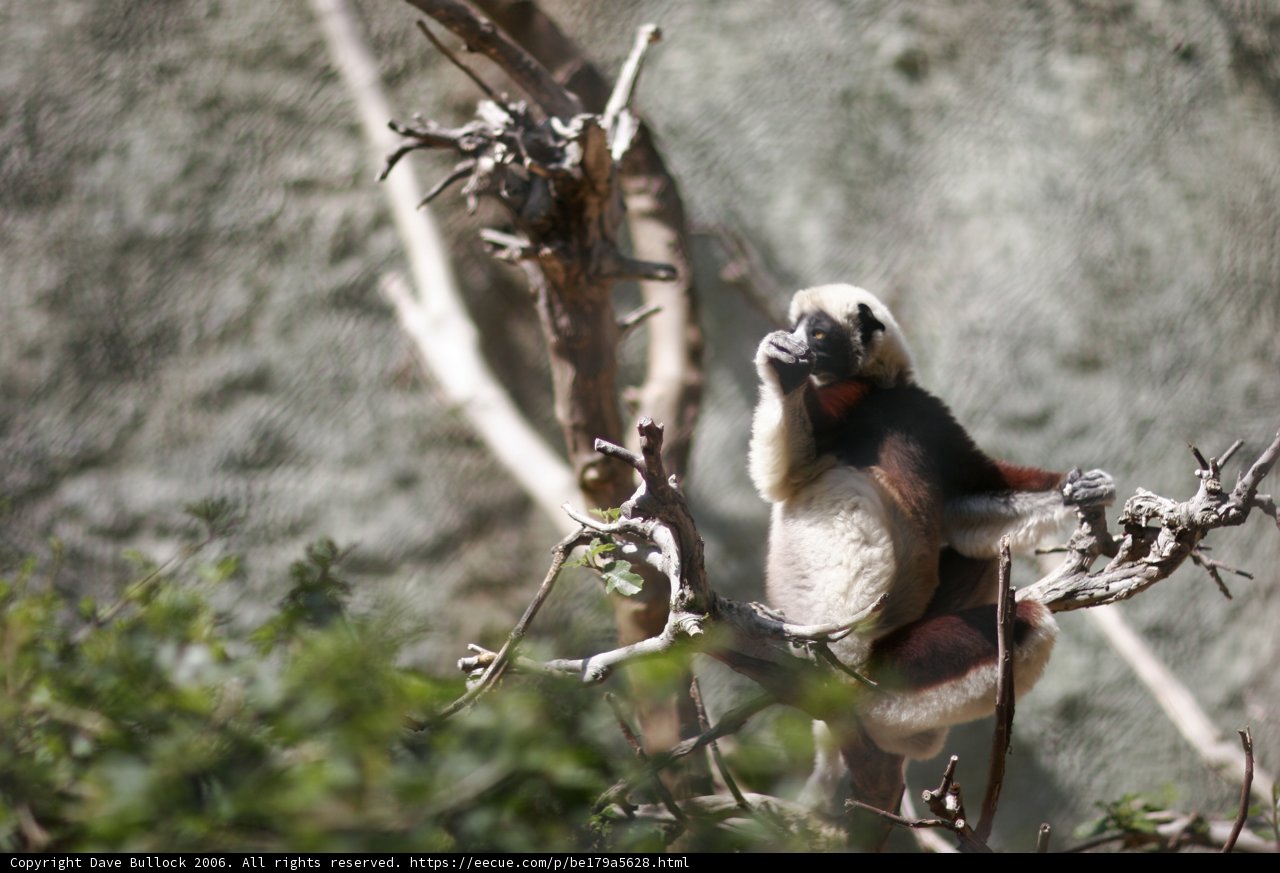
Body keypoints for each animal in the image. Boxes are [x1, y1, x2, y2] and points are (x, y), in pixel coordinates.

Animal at [749, 284, 1114, 798]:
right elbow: (788, 477)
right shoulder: (844, 400)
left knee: (980, 558)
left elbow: (966, 499)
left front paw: (1080, 488)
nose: (799, 345)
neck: (883, 391)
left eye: (818, 332)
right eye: (798, 328)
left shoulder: (928, 415)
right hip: (874, 659)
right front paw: (783, 370)